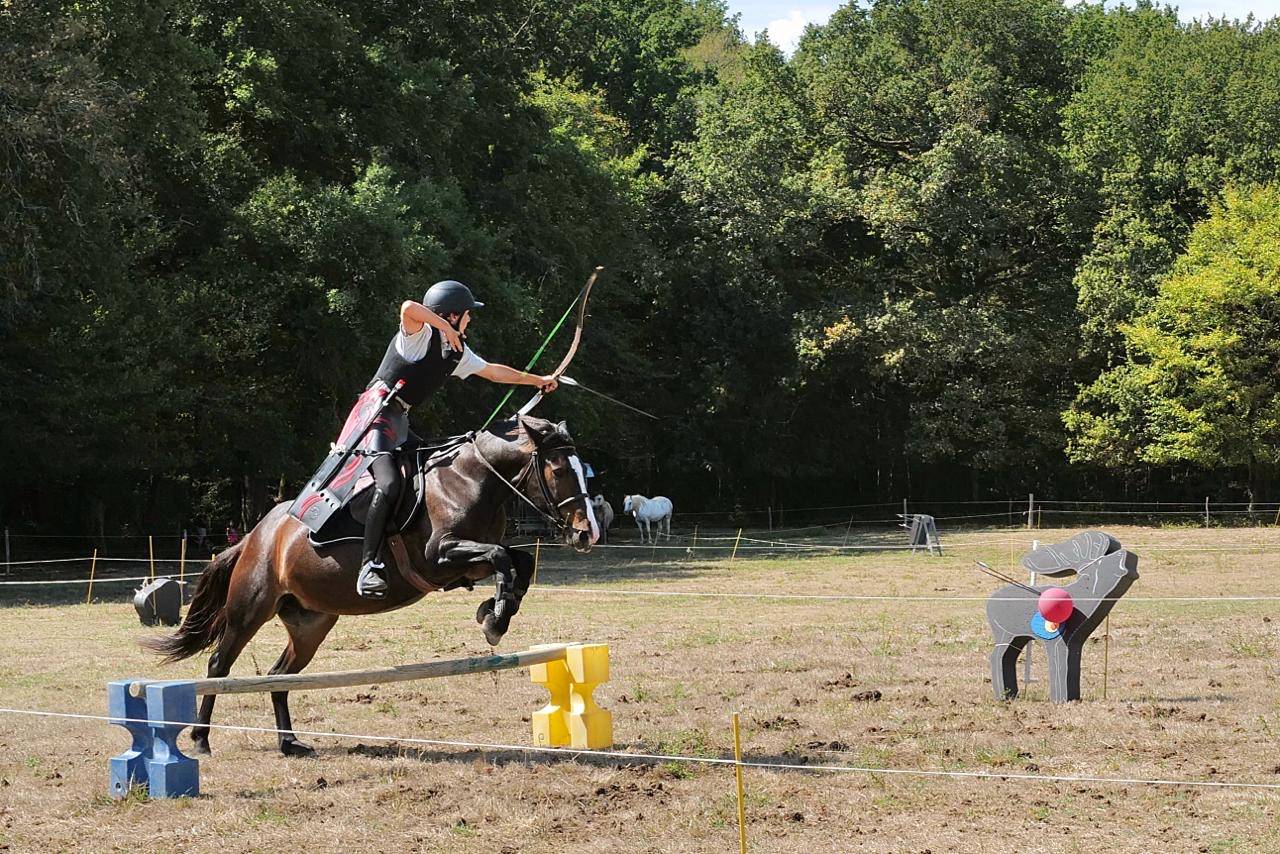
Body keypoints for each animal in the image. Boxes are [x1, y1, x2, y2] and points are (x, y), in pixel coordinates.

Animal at [144, 415, 600, 757]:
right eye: (560, 470)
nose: (586, 533)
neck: (470, 481)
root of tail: (255, 536)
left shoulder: (467, 564)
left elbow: (518, 561)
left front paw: (495, 612)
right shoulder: (440, 557)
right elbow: (504, 559)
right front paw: (494, 619)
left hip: (310, 624)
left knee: (278, 675)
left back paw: (290, 743)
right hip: (249, 609)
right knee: (219, 666)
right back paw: (201, 739)